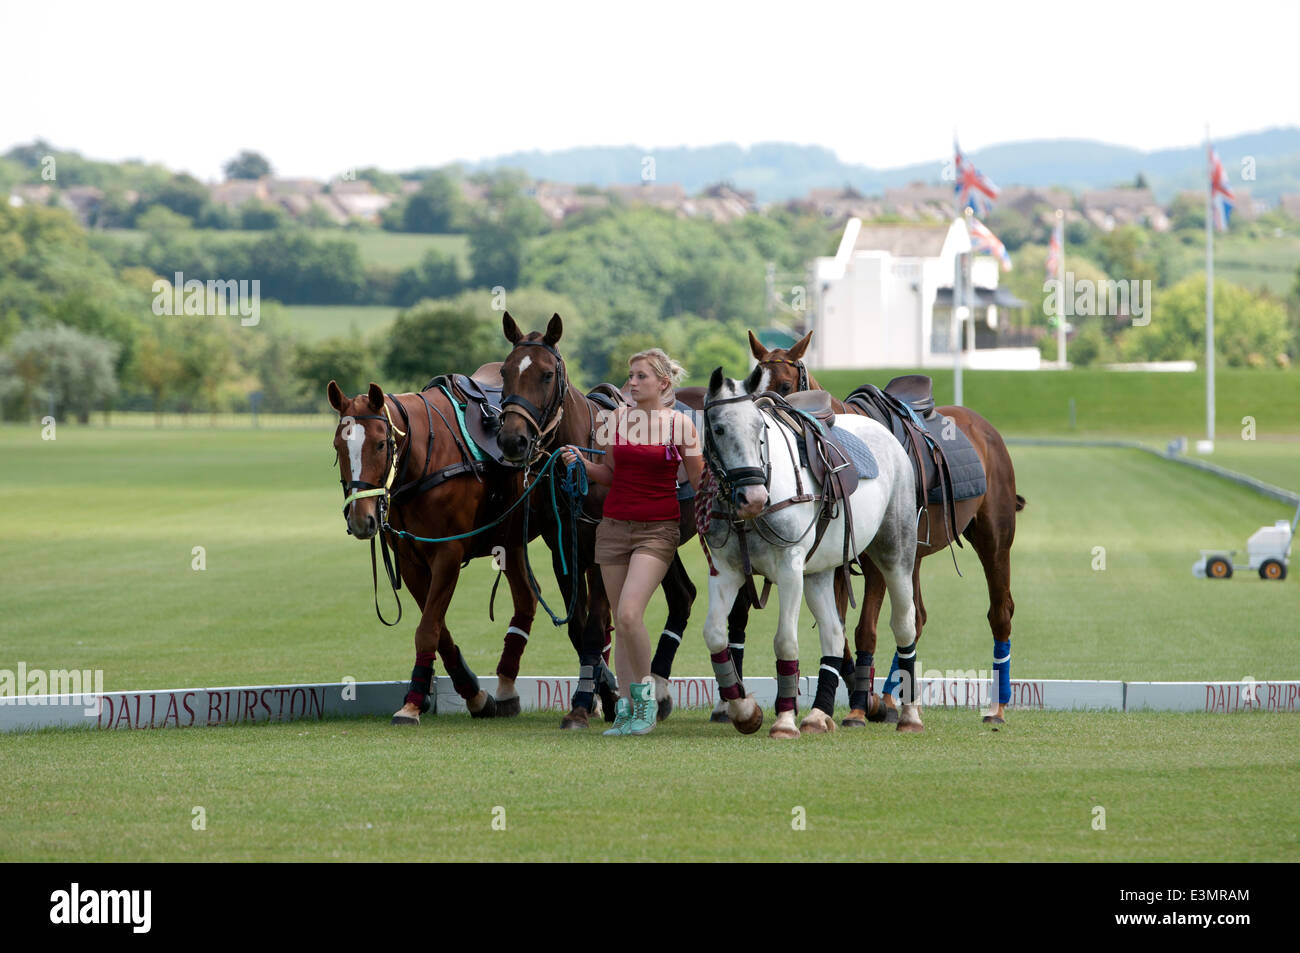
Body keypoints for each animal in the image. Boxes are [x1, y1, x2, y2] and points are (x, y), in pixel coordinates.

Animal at [335, 377, 543, 722]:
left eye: (380, 444)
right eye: (337, 447)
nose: (361, 520)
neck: (422, 460)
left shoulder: (448, 553)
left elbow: (427, 629)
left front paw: (412, 704)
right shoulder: (411, 560)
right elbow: (437, 629)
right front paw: (473, 694)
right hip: (511, 540)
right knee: (527, 597)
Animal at [702, 364, 925, 738]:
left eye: (759, 429)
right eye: (718, 429)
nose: (754, 499)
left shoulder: (790, 566)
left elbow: (785, 641)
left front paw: (783, 720)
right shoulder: (725, 570)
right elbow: (716, 635)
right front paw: (745, 711)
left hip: (896, 551)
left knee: (905, 624)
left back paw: (909, 715)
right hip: (819, 570)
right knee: (834, 635)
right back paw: (819, 714)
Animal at [743, 330, 1024, 722]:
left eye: (785, 385)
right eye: (751, 385)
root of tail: (983, 426)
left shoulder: (873, 560)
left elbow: (864, 630)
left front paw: (859, 708)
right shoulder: (835, 562)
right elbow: (840, 630)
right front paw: (864, 699)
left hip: (993, 537)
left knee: (999, 612)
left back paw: (996, 705)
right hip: (913, 552)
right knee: (916, 616)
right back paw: (892, 699)